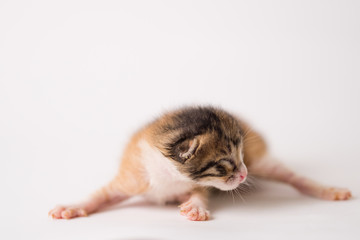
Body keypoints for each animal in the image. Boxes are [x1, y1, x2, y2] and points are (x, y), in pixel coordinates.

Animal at [48, 107, 352, 221]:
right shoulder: (132, 179)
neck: (169, 178)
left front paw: (194, 207)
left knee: (295, 178)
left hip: (265, 163)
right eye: (225, 164)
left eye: (241, 156)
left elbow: (201, 191)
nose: (244, 174)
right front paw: (72, 206)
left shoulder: (203, 184)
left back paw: (330, 191)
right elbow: (99, 195)